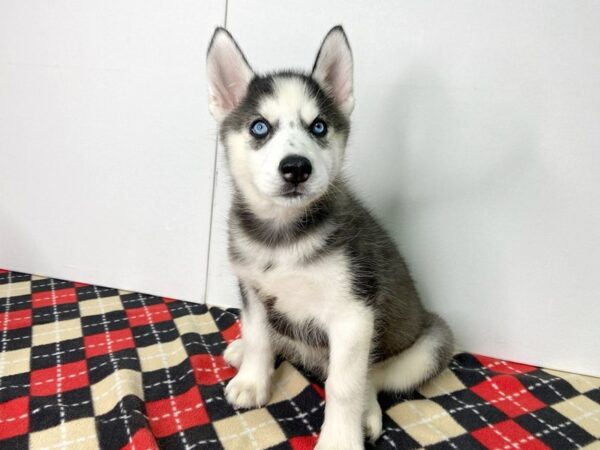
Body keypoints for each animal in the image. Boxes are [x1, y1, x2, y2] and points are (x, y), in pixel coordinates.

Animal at [204, 25, 452, 450]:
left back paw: (367, 413)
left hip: (430, 343)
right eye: (259, 127)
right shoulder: (253, 290)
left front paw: (339, 439)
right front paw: (253, 380)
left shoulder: (353, 313)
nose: (296, 168)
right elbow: (258, 335)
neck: (283, 237)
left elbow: (345, 386)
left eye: (318, 126)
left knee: (372, 377)